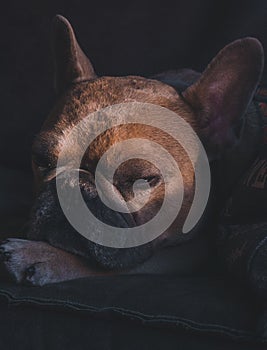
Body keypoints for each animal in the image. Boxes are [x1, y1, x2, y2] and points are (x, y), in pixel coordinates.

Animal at [0, 15, 264, 286]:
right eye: (41, 160)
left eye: (144, 179)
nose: (74, 187)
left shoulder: (186, 252)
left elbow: (108, 267)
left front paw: (37, 255)